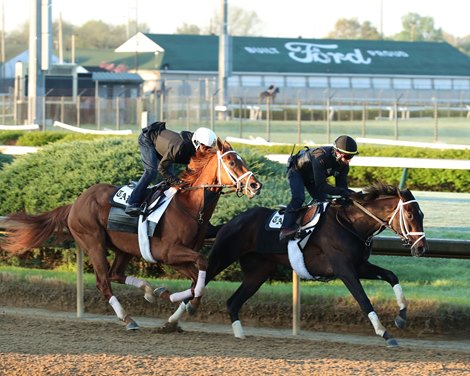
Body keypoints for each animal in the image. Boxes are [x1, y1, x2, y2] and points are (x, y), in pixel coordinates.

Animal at [0, 138, 260, 328]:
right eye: (232, 162)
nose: (255, 185)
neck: (190, 206)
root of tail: (74, 204)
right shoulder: (169, 253)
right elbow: (202, 266)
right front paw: (185, 303)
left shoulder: (177, 258)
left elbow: (198, 279)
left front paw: (169, 296)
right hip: (93, 242)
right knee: (104, 281)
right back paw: (128, 318)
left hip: (123, 247)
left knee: (116, 274)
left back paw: (148, 291)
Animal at [173, 183, 430, 346]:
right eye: (409, 215)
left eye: (422, 215)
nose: (421, 248)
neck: (351, 223)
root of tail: (231, 221)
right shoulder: (344, 270)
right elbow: (363, 300)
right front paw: (384, 333)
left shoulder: (359, 266)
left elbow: (391, 276)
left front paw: (401, 317)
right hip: (223, 255)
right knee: (199, 281)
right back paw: (175, 318)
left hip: (258, 273)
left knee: (232, 301)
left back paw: (239, 333)